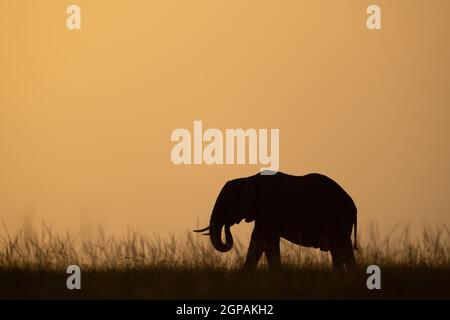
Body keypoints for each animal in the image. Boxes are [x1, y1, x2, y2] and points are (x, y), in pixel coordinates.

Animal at [193, 172, 358, 270]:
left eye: (224, 203)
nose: (227, 225)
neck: (249, 179)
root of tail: (353, 206)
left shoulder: (268, 209)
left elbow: (268, 241)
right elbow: (257, 241)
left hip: (338, 219)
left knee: (342, 248)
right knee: (338, 250)